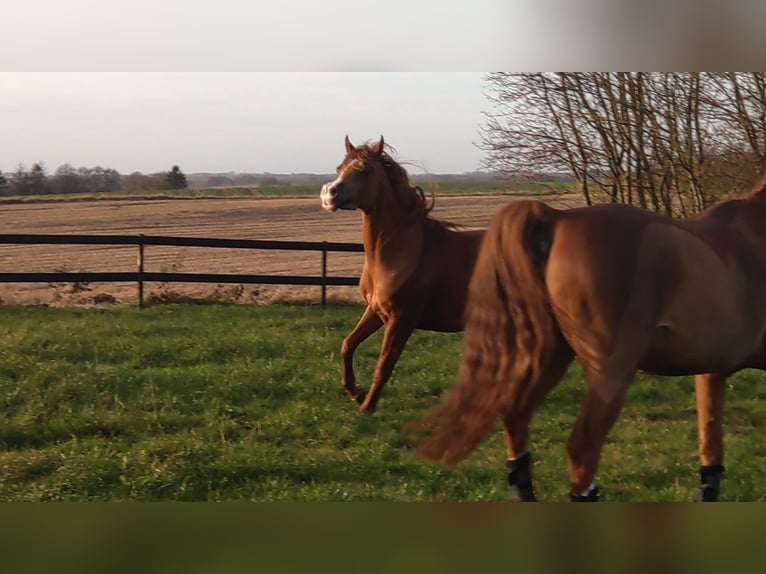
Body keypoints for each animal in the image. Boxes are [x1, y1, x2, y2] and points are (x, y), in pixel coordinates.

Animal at [320, 137, 484, 416]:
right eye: (339, 167)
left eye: (365, 170)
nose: (329, 194)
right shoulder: (375, 311)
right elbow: (348, 345)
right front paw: (355, 392)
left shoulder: (402, 319)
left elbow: (383, 366)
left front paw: (367, 407)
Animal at [412, 173, 766, 502]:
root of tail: (555, 219)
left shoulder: (711, 373)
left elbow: (710, 460)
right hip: (609, 373)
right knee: (581, 450)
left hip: (551, 356)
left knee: (516, 420)